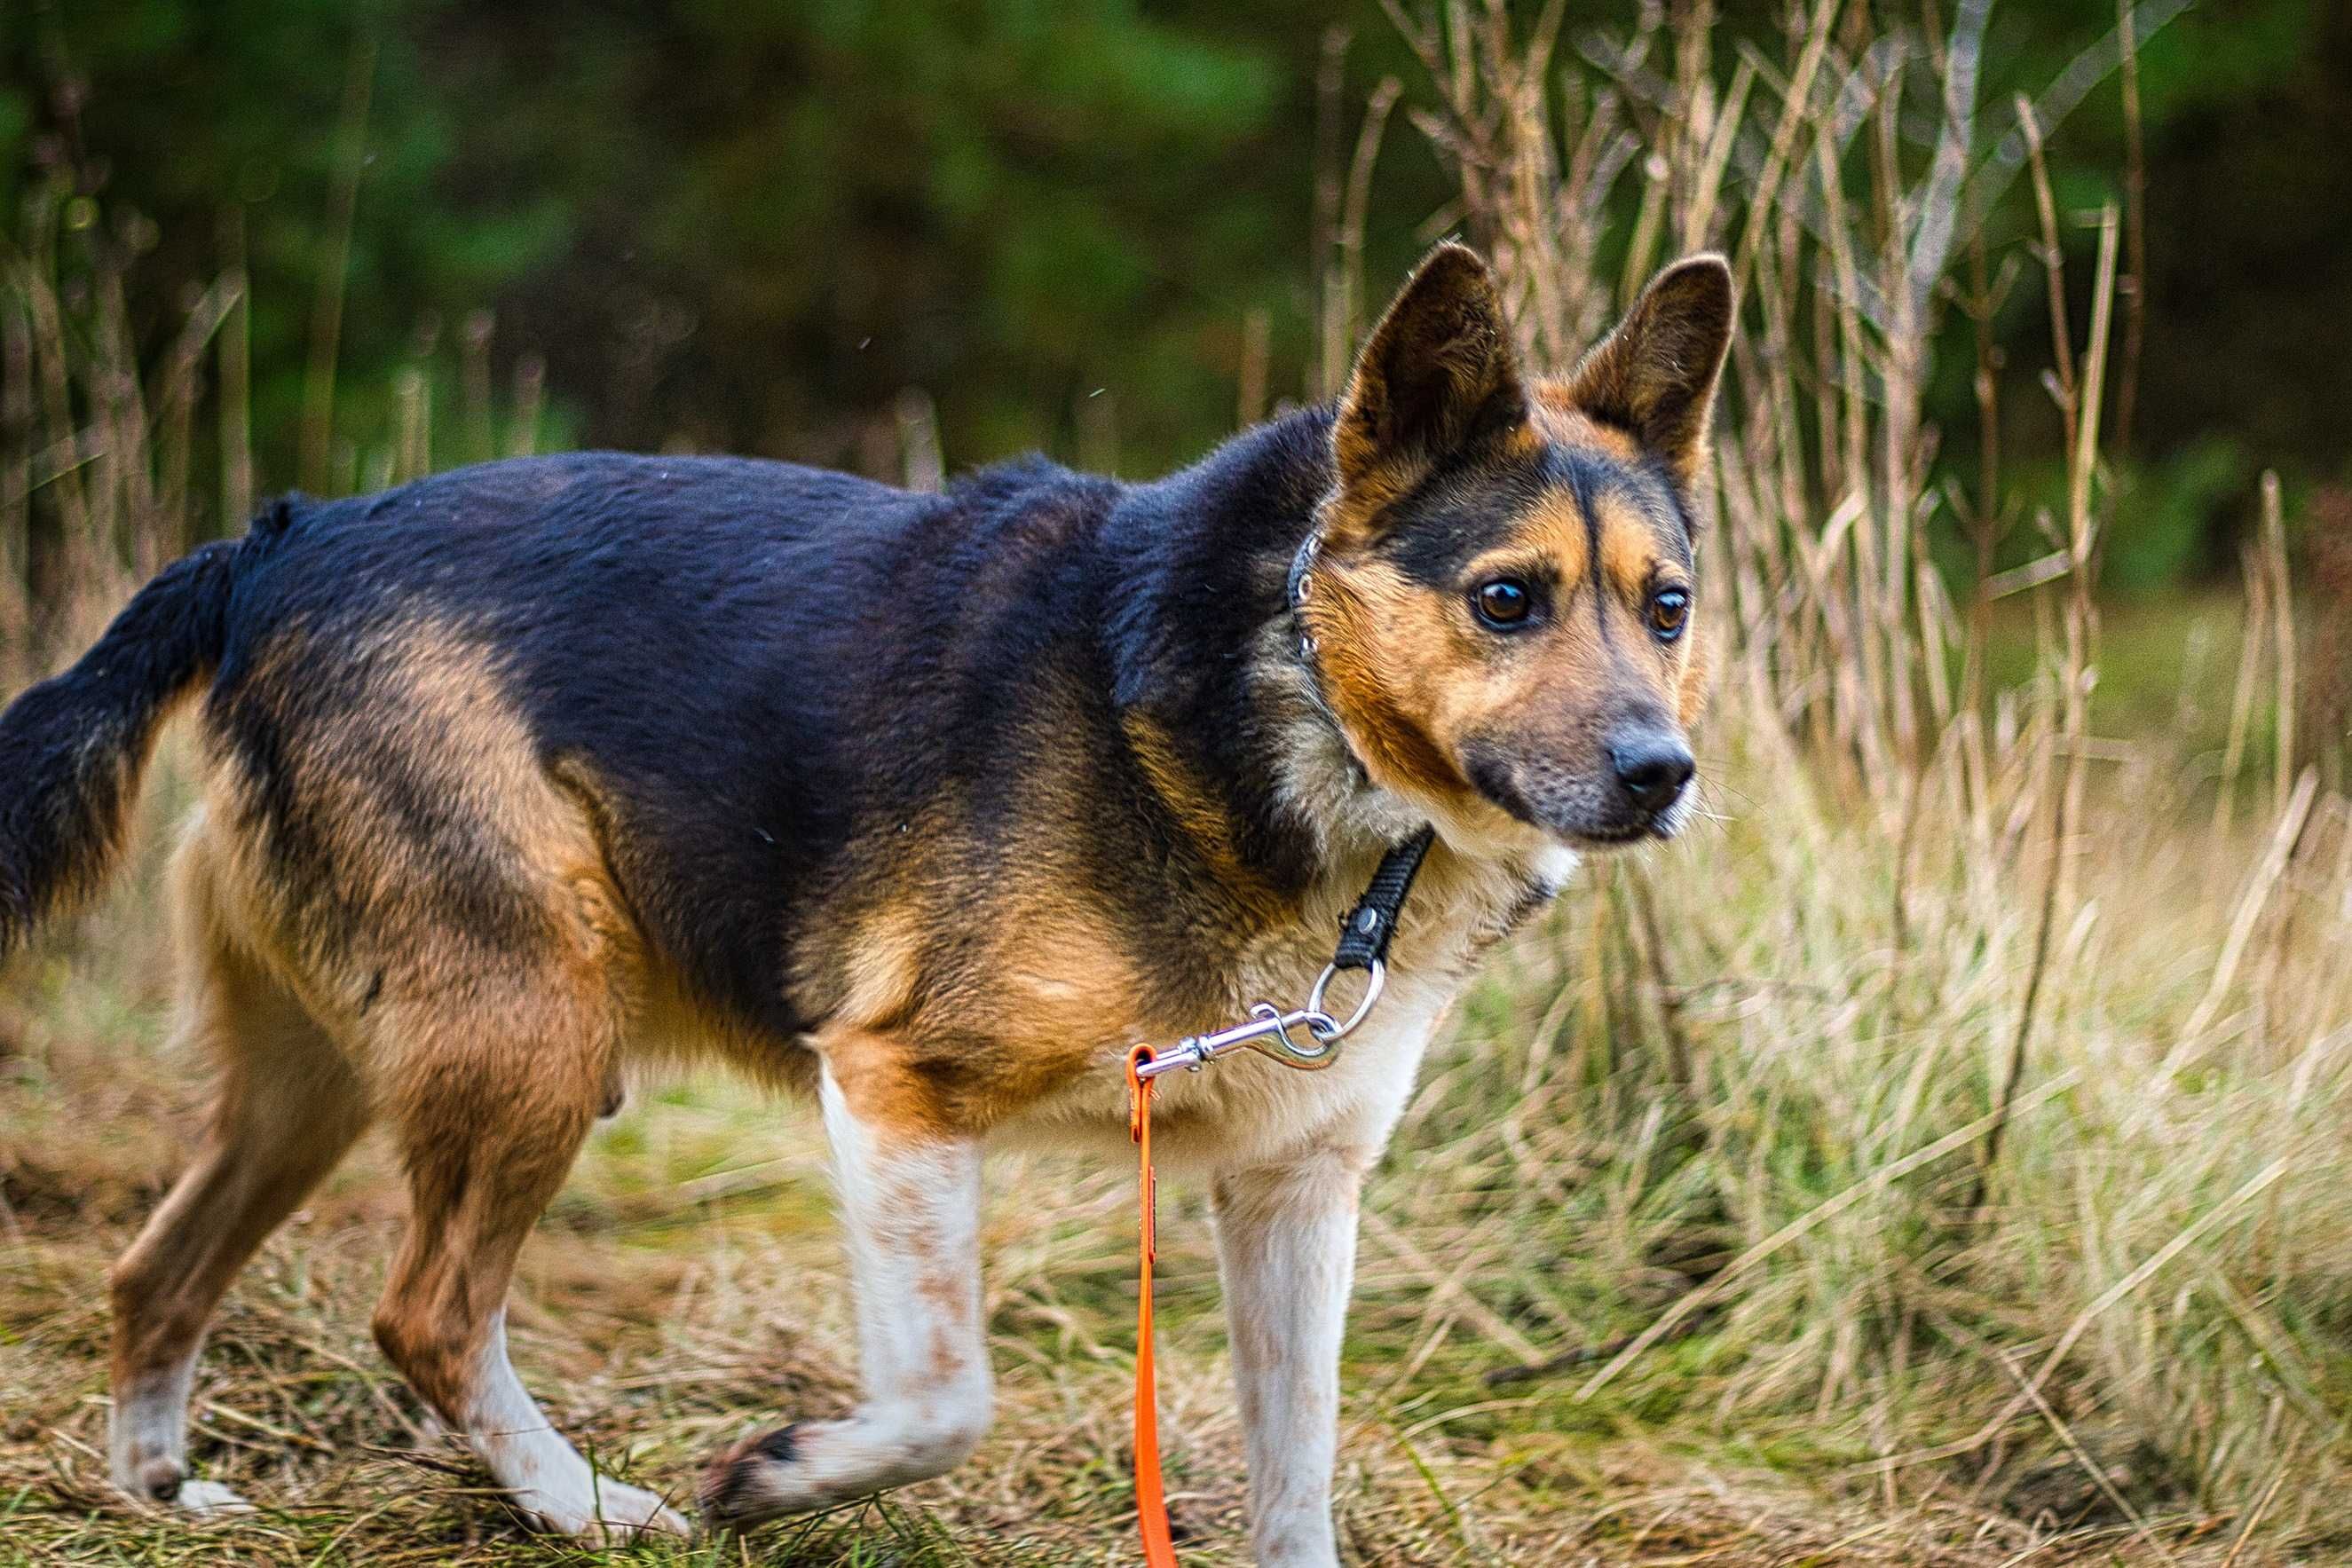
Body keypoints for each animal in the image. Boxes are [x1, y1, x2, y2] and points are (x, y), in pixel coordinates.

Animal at [0, 240, 1731, 1561]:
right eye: (1505, 599)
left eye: (1666, 608)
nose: (1664, 773)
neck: (1284, 693)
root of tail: (280, 542)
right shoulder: (895, 1085)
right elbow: (946, 1395)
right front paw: (783, 1475)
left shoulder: (1293, 1191)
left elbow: (1296, 1481)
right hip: (531, 1035)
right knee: (424, 1313)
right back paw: (592, 1508)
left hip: (328, 1073)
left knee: (156, 1268)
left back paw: (158, 1489)